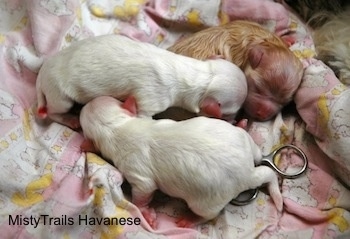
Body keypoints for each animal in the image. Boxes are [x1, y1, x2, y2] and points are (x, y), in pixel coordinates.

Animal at [37, 34, 247, 129]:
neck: (200, 74)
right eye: (231, 113)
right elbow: (144, 114)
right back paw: (68, 119)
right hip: (59, 94)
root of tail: (41, 75)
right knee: (54, 112)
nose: (239, 117)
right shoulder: (152, 96)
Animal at [80, 95, 284, 228]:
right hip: (246, 143)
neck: (116, 126)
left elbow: (144, 189)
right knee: (265, 167)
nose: (81, 107)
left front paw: (145, 212)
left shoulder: (133, 167)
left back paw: (191, 220)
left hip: (208, 201)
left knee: (208, 214)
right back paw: (242, 126)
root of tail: (247, 171)